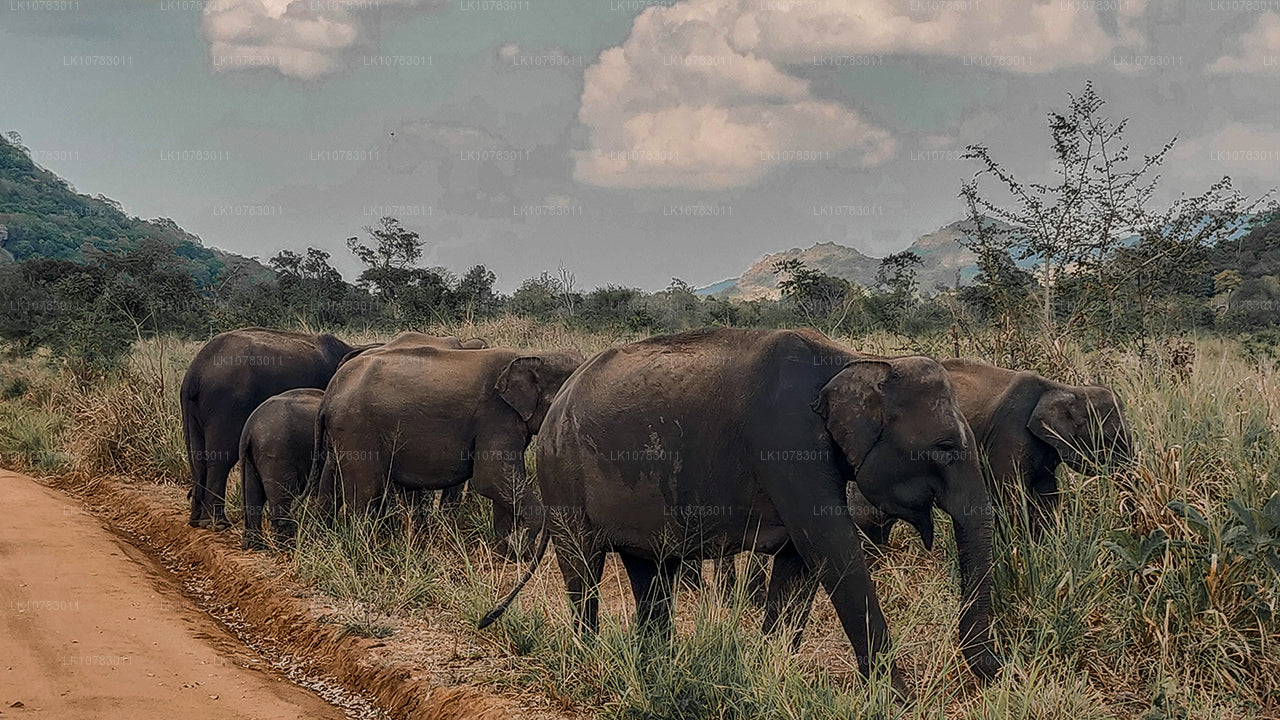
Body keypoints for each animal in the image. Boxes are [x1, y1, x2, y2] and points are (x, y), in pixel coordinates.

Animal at [180, 330, 481, 527]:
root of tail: (194, 372)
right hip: (227, 402)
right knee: (220, 457)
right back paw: (218, 524)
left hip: (196, 409)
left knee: (198, 455)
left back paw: (198, 520)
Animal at [239, 386, 325, 548]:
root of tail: (249, 429)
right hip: (277, 452)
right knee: (282, 496)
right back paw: (287, 546)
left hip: (250, 457)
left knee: (253, 494)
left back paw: (254, 545)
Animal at [312, 333, 583, 550]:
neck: (530, 357)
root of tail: (330, 394)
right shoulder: (495, 416)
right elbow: (491, 477)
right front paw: (520, 548)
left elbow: (502, 481)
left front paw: (506, 549)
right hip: (357, 429)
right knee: (365, 491)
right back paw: (363, 552)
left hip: (341, 433)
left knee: (331, 484)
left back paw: (324, 538)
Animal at [483, 325, 1003, 691]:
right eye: (944, 447)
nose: (995, 670)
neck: (854, 361)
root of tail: (558, 403)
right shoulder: (788, 443)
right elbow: (832, 549)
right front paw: (899, 699)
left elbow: (799, 563)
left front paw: (768, 669)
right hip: (562, 474)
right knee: (583, 567)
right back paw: (588, 658)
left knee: (651, 571)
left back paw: (655, 666)